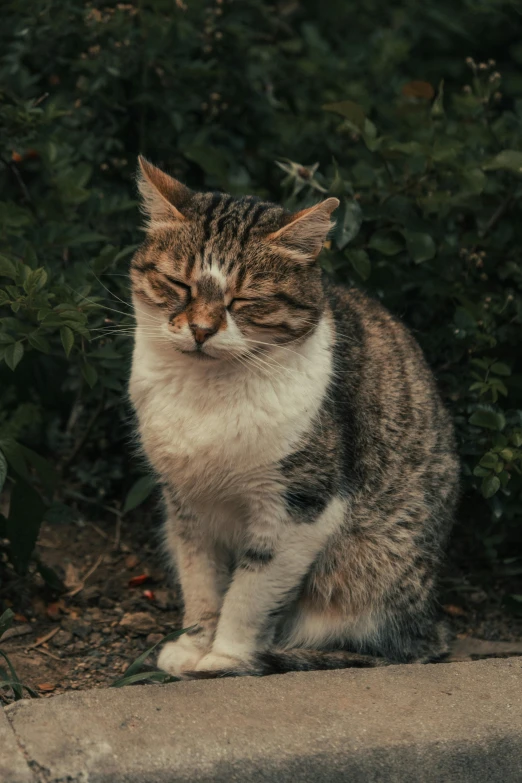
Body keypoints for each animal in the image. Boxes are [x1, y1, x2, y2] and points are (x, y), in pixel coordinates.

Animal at [128, 156, 458, 676]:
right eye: (179, 284)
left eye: (244, 300)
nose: (201, 330)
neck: (206, 396)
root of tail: (432, 622)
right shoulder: (186, 506)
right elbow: (201, 581)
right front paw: (194, 644)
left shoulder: (300, 507)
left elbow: (249, 592)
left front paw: (225, 656)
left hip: (368, 569)